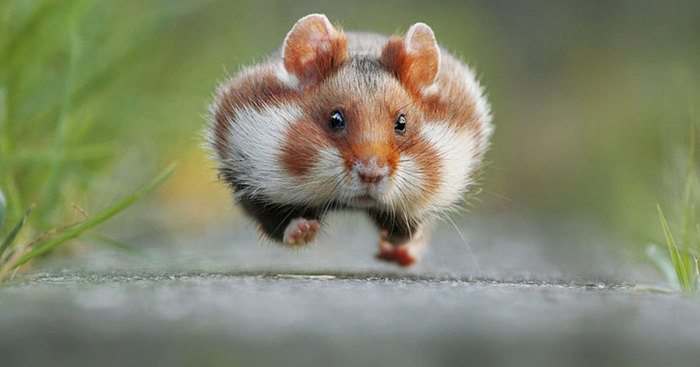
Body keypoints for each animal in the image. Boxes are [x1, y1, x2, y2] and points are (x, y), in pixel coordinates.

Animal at [206, 13, 492, 268]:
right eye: (335, 119)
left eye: (402, 123)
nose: (371, 174)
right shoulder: (252, 179)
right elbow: (277, 223)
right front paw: (305, 230)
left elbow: (407, 227)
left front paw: (392, 240)